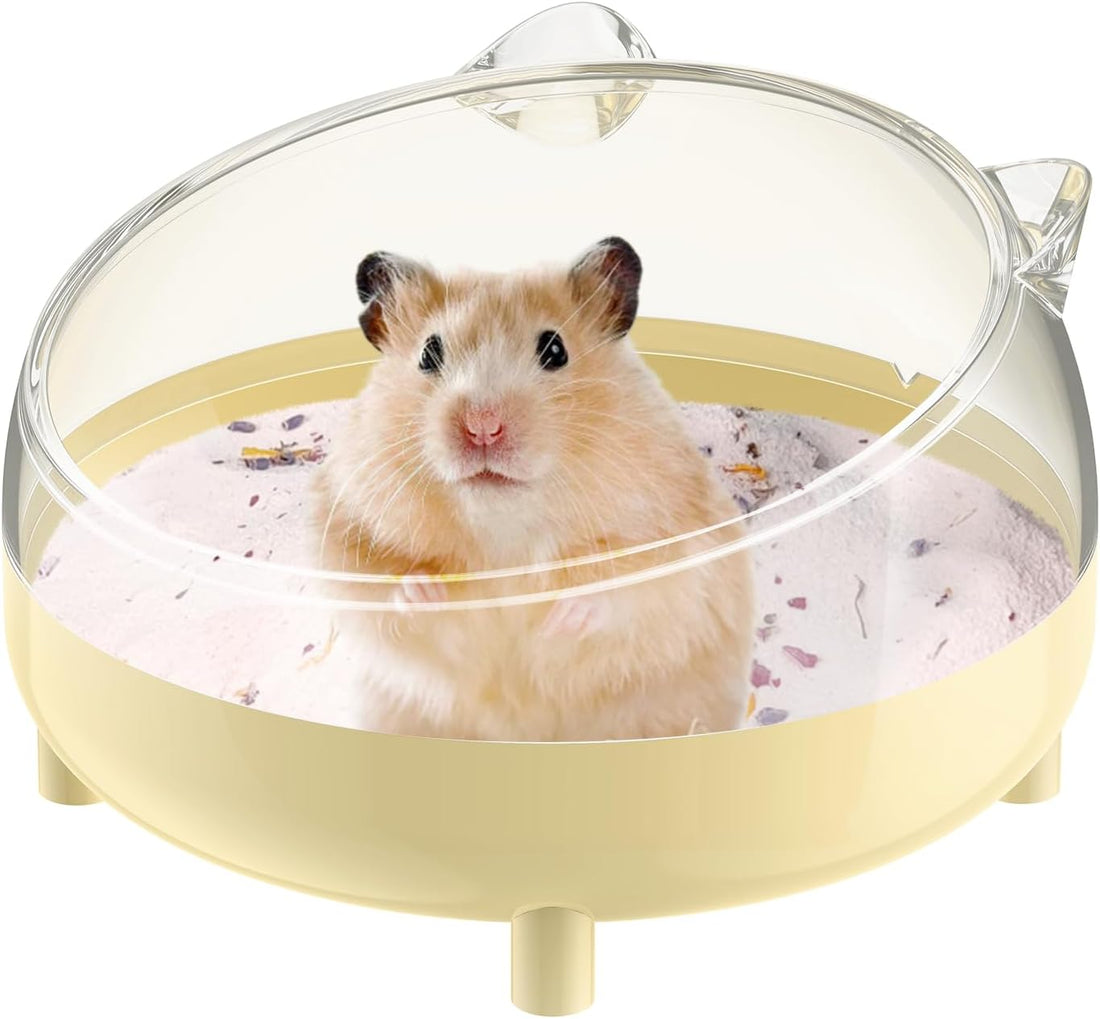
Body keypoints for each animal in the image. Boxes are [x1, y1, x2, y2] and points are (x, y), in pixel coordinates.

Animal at [314, 237, 754, 741]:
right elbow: (374, 588)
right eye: (428, 353)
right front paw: (426, 593)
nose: (482, 427)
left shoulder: (681, 549)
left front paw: (561, 616)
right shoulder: (343, 531)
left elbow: (635, 589)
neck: (505, 529)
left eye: (555, 349)